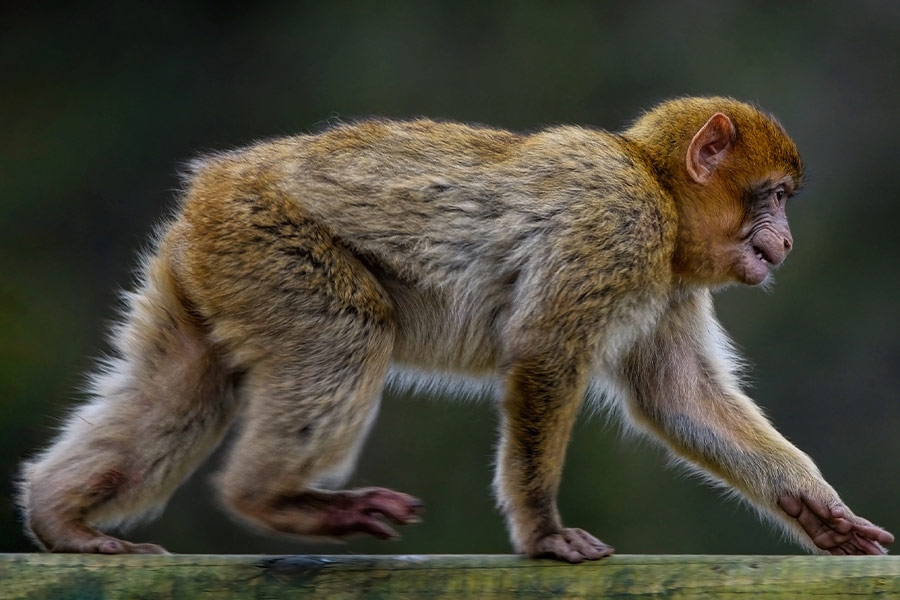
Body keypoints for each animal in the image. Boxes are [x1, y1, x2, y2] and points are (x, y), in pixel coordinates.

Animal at [16, 97, 894, 561]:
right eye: (772, 197)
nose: (786, 241)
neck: (658, 189)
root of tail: (216, 182)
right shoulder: (617, 225)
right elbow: (544, 354)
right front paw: (542, 532)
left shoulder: (670, 281)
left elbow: (678, 397)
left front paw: (814, 508)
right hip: (265, 238)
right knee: (347, 332)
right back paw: (270, 498)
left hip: (207, 262)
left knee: (182, 386)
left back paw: (62, 519)